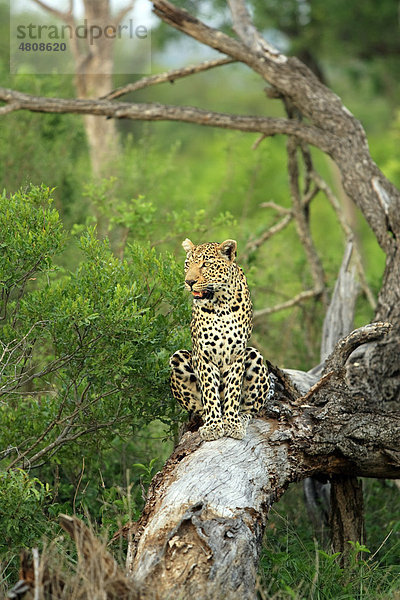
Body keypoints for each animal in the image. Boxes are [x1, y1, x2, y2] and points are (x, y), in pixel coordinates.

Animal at [169, 238, 276, 440]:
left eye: (205, 264)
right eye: (187, 265)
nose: (189, 282)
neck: (220, 304)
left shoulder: (236, 354)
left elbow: (233, 390)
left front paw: (232, 423)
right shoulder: (204, 355)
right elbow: (210, 391)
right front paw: (213, 425)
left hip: (254, 356)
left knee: (252, 409)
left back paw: (240, 419)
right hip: (178, 357)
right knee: (199, 408)